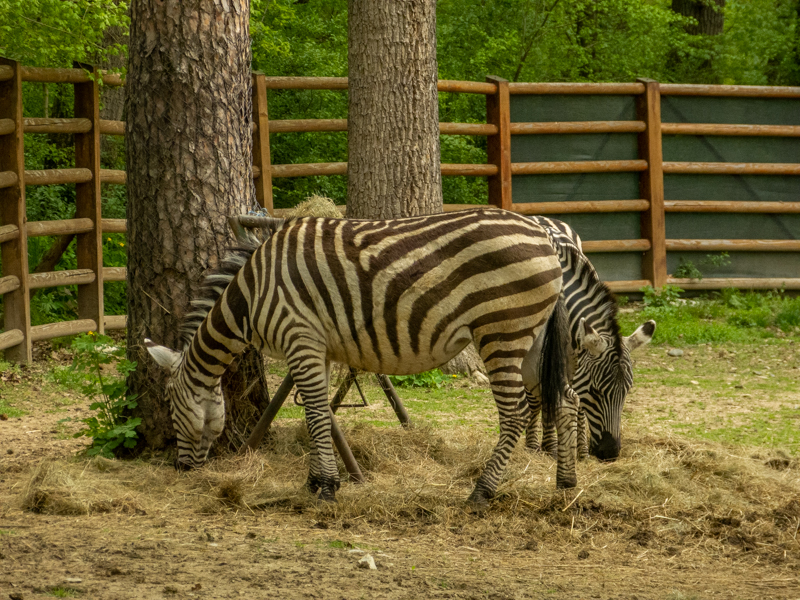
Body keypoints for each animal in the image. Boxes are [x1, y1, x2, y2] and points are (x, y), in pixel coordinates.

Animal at [144, 208, 575, 504]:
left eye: (168, 403)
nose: (180, 469)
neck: (251, 295)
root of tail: (544, 233)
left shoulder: (300, 337)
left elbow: (318, 414)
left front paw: (327, 488)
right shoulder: (317, 347)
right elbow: (317, 413)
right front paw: (316, 481)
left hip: (501, 330)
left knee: (515, 412)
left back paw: (481, 492)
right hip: (533, 337)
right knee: (567, 399)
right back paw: (565, 485)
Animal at [522, 216, 655, 462]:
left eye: (627, 391)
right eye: (595, 392)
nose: (610, 453)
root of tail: (539, 217)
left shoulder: (577, 358)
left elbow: (575, 403)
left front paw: (580, 451)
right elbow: (539, 398)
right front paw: (538, 446)